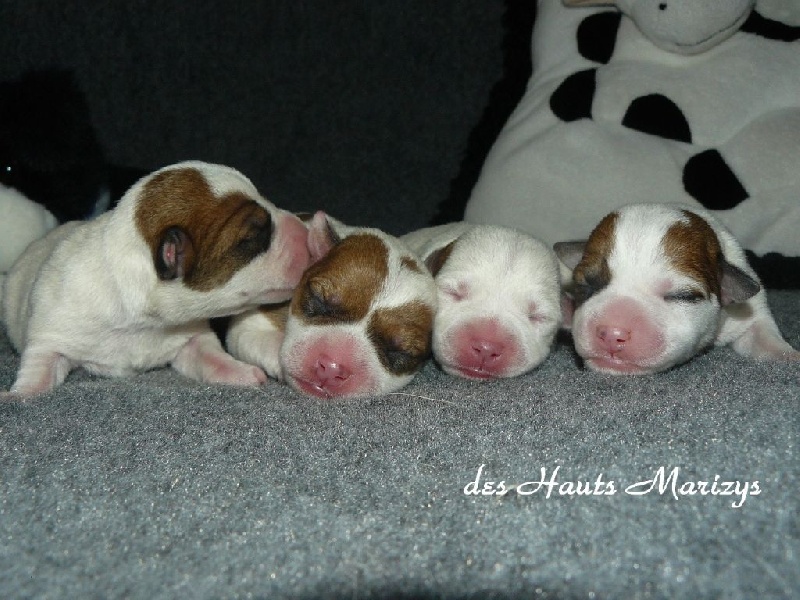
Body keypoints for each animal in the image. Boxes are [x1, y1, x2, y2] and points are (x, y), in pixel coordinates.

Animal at [2, 159, 322, 398]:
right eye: (253, 237)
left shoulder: (192, 337)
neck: (142, 320)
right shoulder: (48, 337)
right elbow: (37, 370)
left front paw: (240, 371)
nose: (307, 234)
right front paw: (17, 396)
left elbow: (211, 357)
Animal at [556, 205, 800, 376]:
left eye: (682, 296)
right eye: (586, 285)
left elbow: (763, 336)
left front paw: (790, 357)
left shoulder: (751, 314)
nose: (612, 333)